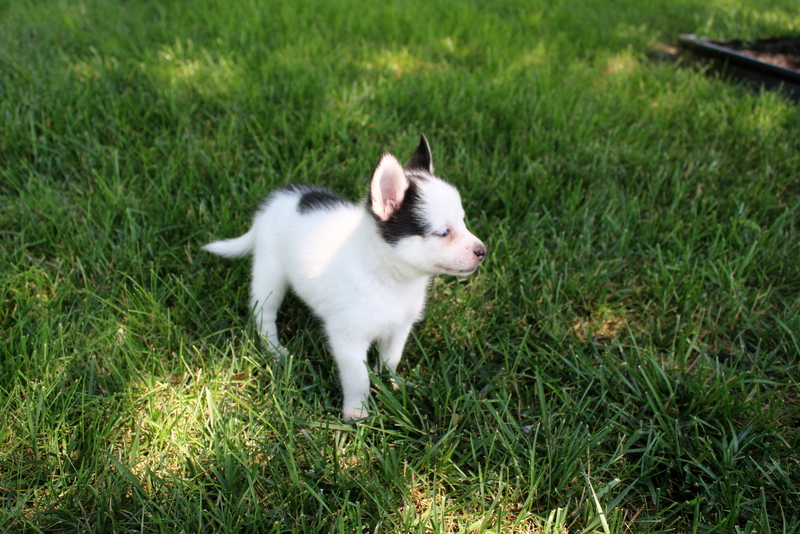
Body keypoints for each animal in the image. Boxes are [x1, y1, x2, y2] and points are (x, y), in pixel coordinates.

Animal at [203, 136, 484, 420]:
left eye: (463, 222)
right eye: (443, 232)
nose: (482, 251)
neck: (388, 277)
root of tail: (279, 200)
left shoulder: (399, 328)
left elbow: (390, 361)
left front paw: (392, 387)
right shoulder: (347, 340)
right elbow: (358, 379)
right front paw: (357, 414)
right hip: (269, 273)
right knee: (264, 313)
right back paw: (273, 349)